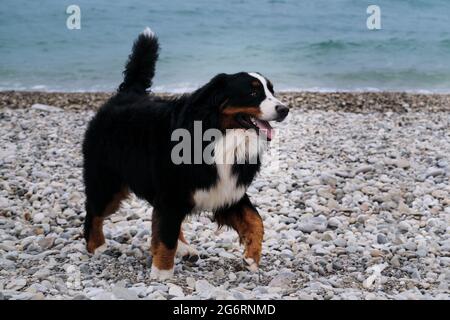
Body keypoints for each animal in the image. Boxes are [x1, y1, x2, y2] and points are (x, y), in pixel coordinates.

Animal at [82, 28, 290, 282]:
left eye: (271, 90)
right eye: (252, 92)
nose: (284, 109)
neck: (221, 136)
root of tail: (127, 94)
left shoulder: (228, 189)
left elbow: (256, 221)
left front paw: (251, 258)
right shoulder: (173, 192)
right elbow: (166, 236)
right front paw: (162, 272)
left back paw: (184, 249)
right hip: (108, 183)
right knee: (94, 211)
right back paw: (97, 247)